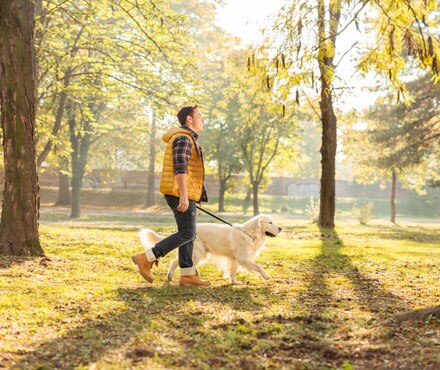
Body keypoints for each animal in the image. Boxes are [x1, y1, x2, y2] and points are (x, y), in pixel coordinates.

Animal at [138, 214, 282, 284]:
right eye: (270, 223)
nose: (281, 228)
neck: (249, 233)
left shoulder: (235, 259)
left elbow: (233, 271)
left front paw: (234, 282)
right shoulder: (243, 258)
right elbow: (259, 267)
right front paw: (266, 276)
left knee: (178, 262)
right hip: (198, 253)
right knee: (177, 262)